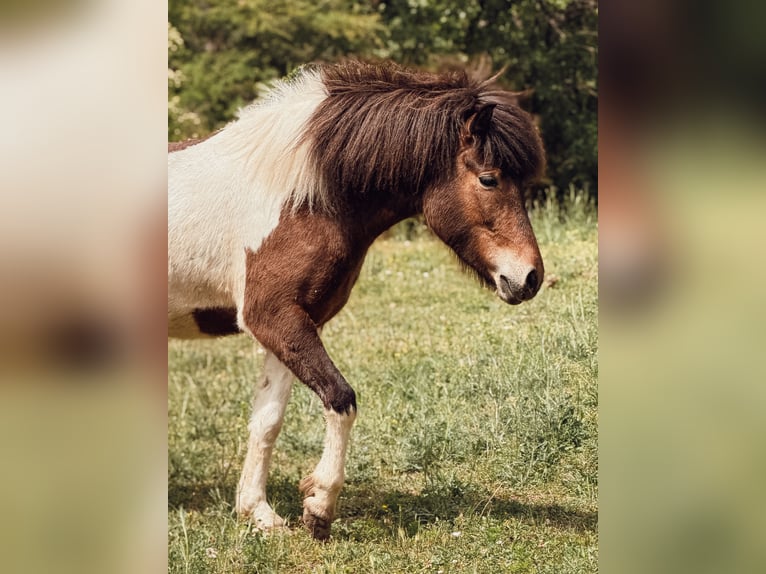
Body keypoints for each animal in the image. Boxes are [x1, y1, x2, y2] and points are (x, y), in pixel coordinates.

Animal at [168, 60, 546, 541]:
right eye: (489, 178)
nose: (530, 277)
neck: (301, 196)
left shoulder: (292, 324)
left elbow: (267, 421)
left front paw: (259, 513)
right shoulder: (273, 319)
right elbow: (341, 398)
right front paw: (319, 506)